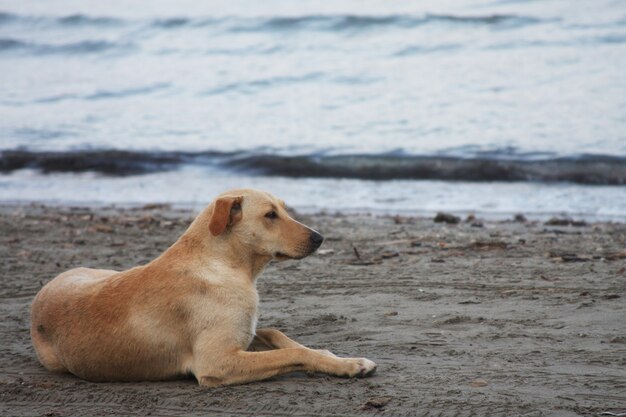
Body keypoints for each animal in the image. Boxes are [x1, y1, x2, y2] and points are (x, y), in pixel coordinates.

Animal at [30, 187, 376, 386]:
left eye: (284, 209)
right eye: (270, 215)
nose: (320, 237)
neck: (222, 264)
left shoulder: (243, 335)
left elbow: (280, 336)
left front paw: (337, 357)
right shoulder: (217, 361)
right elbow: (291, 354)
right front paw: (349, 364)